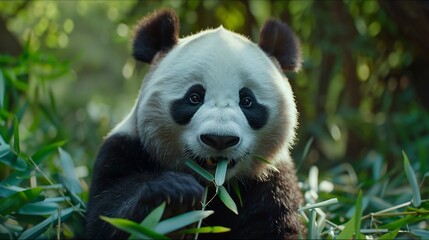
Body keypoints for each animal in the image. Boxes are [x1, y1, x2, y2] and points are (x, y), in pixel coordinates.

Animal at [85, 8, 302, 239]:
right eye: (194, 98)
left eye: (247, 101)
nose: (219, 139)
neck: (214, 185)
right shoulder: (123, 149)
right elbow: (106, 214)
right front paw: (174, 198)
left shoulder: (272, 179)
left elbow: (275, 224)